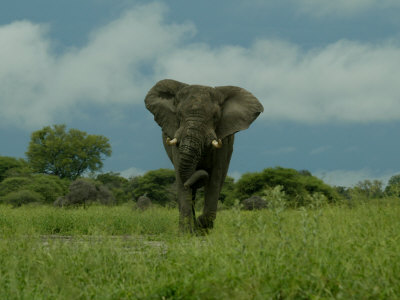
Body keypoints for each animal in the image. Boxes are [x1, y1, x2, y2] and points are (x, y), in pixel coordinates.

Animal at [144, 79, 262, 232]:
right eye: (179, 115)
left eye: (215, 117)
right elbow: (182, 181)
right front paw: (186, 233)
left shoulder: (223, 143)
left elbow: (215, 178)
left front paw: (202, 227)